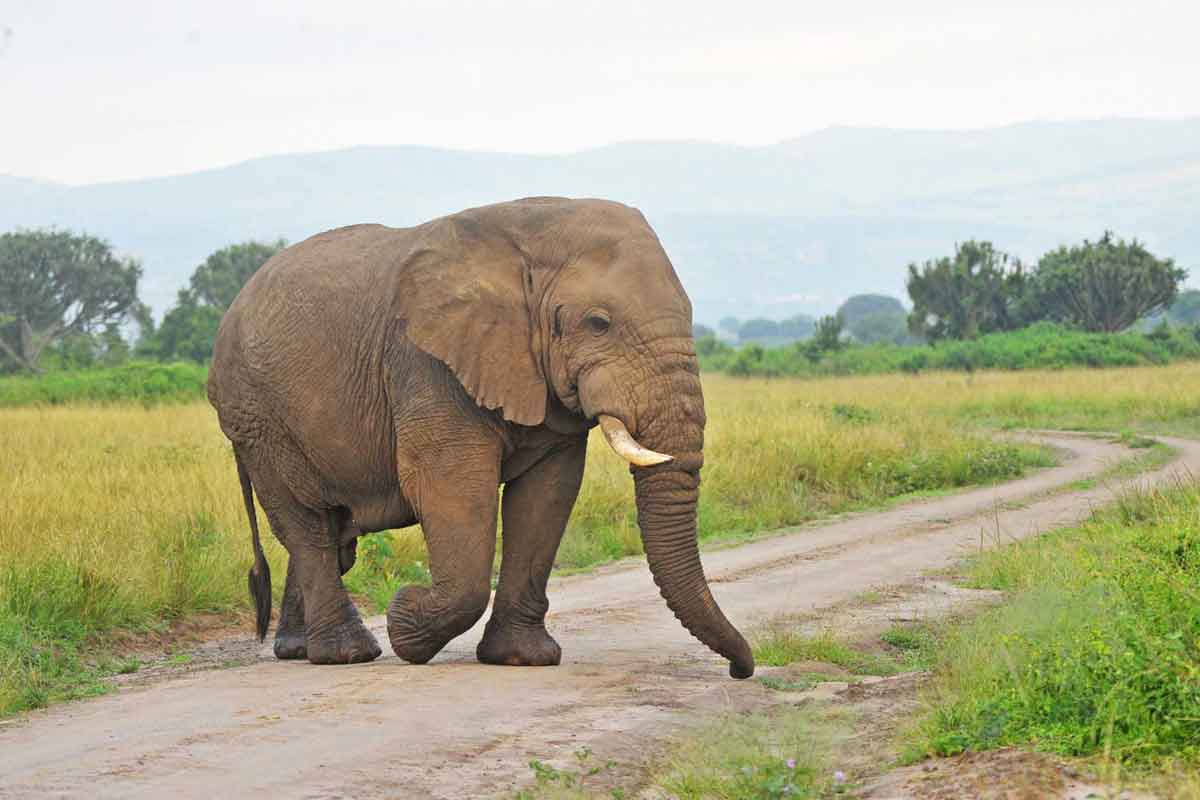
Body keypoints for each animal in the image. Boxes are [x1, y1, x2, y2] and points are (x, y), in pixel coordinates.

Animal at [205, 196, 748, 681]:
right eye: (599, 323)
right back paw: (347, 654)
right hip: (257, 418)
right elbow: (451, 489)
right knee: (306, 524)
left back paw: (297, 650)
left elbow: (546, 496)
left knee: (334, 536)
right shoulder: (425, 363)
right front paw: (404, 621)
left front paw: (522, 659)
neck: (527, 241)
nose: (740, 669)